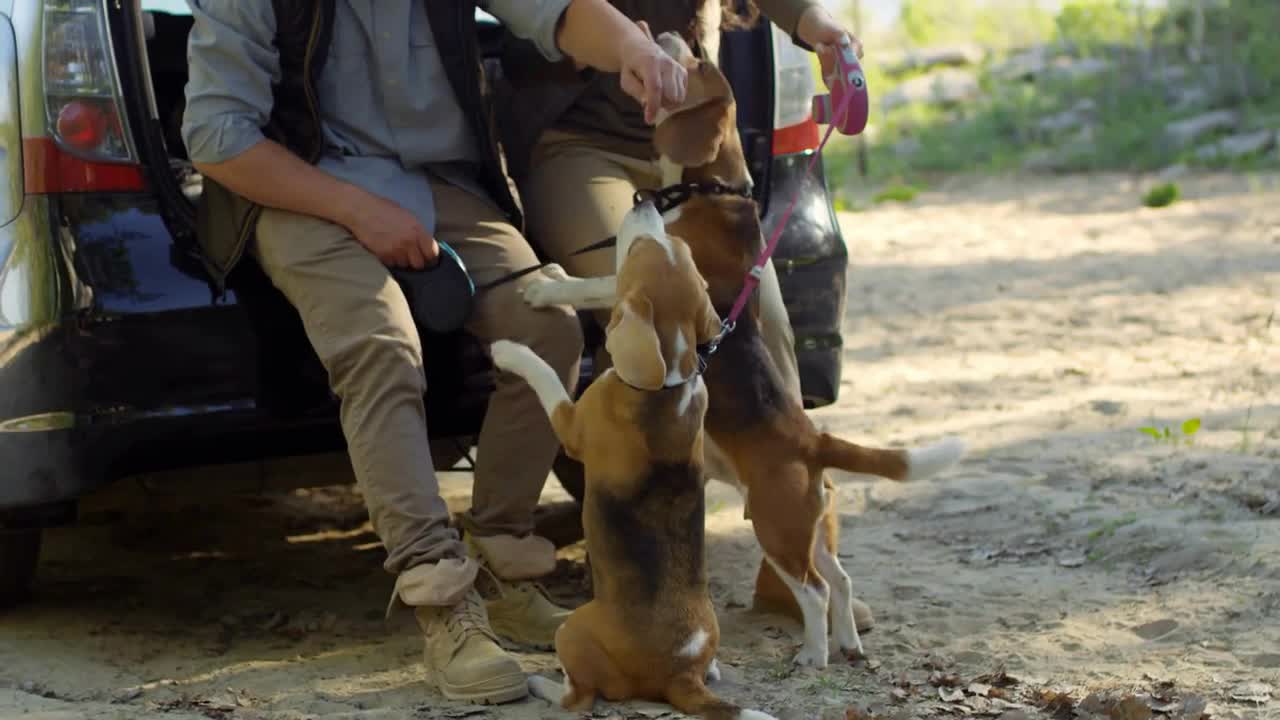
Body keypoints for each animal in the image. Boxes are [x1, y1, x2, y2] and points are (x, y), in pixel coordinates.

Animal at [491, 202, 773, 717]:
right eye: (676, 246)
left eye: (642, 247)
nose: (644, 202)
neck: (669, 382)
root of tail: (681, 672)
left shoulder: (570, 424)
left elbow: (545, 376)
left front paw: (510, 351)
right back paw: (714, 669)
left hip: (572, 629)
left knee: (578, 698)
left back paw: (541, 683)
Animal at [519, 29, 962, 666]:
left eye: (698, 62)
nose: (669, 32)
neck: (710, 188)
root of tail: (813, 439)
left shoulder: (653, 268)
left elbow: (592, 281)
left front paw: (542, 285)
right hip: (806, 526)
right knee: (841, 578)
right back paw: (848, 643)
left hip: (777, 526)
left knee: (815, 588)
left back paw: (813, 654)